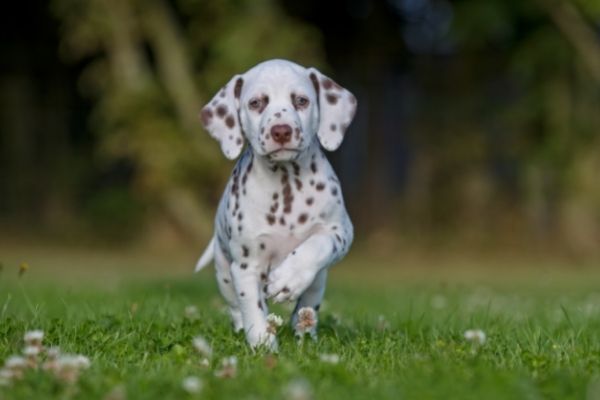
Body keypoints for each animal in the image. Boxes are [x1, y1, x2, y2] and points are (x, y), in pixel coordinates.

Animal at [195, 58, 356, 350]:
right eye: (256, 103)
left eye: (301, 101)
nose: (281, 131)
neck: (286, 184)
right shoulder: (246, 266)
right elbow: (254, 310)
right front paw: (263, 346)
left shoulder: (341, 231)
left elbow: (317, 244)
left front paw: (288, 278)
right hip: (224, 273)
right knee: (236, 308)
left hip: (320, 280)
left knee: (307, 308)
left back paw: (306, 334)